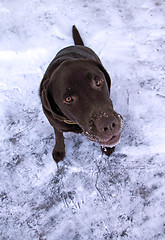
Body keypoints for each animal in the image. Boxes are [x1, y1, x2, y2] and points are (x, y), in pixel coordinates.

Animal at [40, 25, 122, 162]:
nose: (109, 124)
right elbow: (58, 135)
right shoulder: (54, 122)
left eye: (98, 81)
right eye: (68, 99)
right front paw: (59, 150)